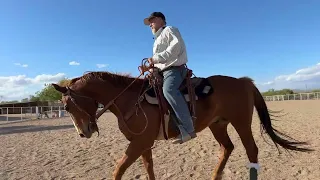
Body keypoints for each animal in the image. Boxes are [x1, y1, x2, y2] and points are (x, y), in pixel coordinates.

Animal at [51, 62, 312, 179]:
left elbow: (118, 170)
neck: (129, 99)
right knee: (227, 148)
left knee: (252, 150)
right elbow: (148, 169)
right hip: (218, 124)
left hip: (241, 123)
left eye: (67, 105)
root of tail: (244, 81)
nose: (83, 132)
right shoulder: (142, 144)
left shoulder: (137, 144)